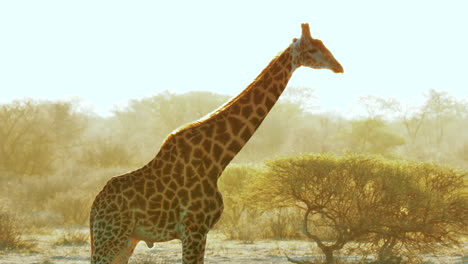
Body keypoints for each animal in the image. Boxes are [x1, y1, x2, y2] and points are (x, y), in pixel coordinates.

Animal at [88, 23, 344, 262]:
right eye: (312, 49)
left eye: (324, 45)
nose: (338, 67)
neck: (217, 159)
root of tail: (93, 209)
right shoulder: (194, 228)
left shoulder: (199, 231)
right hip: (110, 238)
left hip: (126, 241)